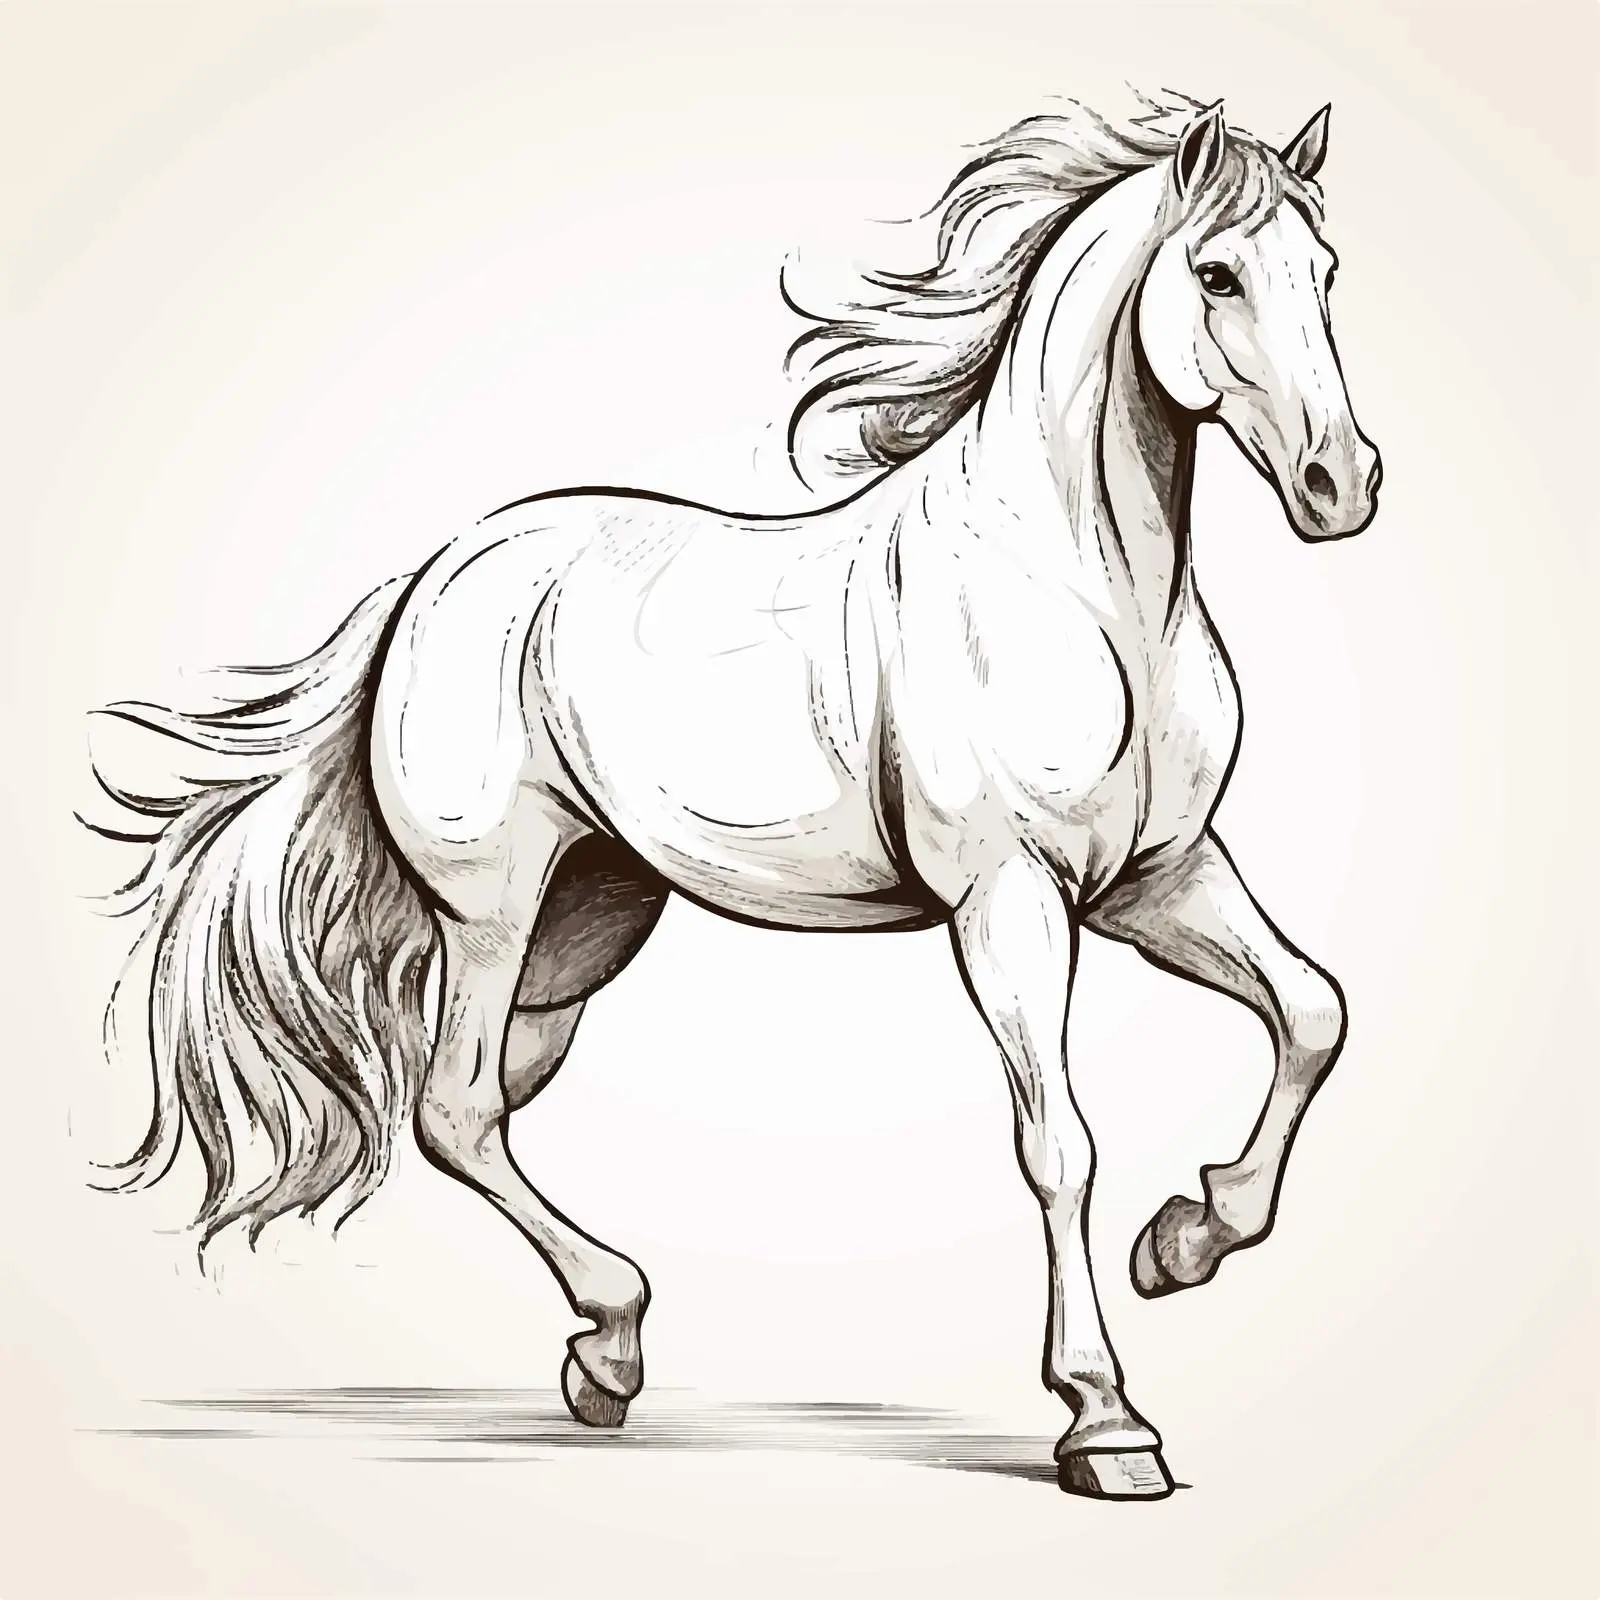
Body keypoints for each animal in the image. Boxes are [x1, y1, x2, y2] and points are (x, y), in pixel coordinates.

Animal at [86, 93, 1381, 1500]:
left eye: (1325, 271)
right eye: (1217, 273)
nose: (1342, 486)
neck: (1079, 588)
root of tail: (433, 579)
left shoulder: (1161, 875)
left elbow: (1314, 1010)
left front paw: (1185, 1239)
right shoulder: (1010, 900)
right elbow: (1060, 1144)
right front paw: (1105, 1423)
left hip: (581, 931)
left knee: (484, 1107)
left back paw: (603, 1355)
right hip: (489, 911)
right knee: (454, 1108)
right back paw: (616, 1326)